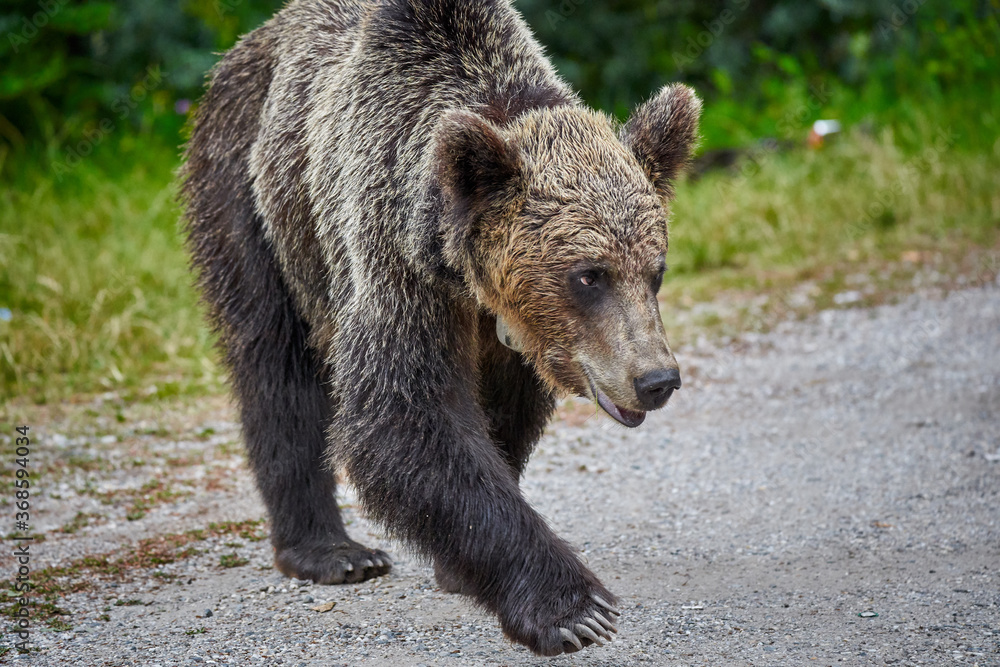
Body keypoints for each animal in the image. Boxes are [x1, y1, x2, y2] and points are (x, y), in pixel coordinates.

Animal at [179, 0, 700, 656]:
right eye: (588, 275)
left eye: (656, 270)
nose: (655, 379)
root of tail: (248, 44)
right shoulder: (393, 263)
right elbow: (403, 417)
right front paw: (574, 609)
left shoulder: (509, 334)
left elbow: (499, 416)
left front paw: (463, 567)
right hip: (252, 201)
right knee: (275, 364)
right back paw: (331, 551)